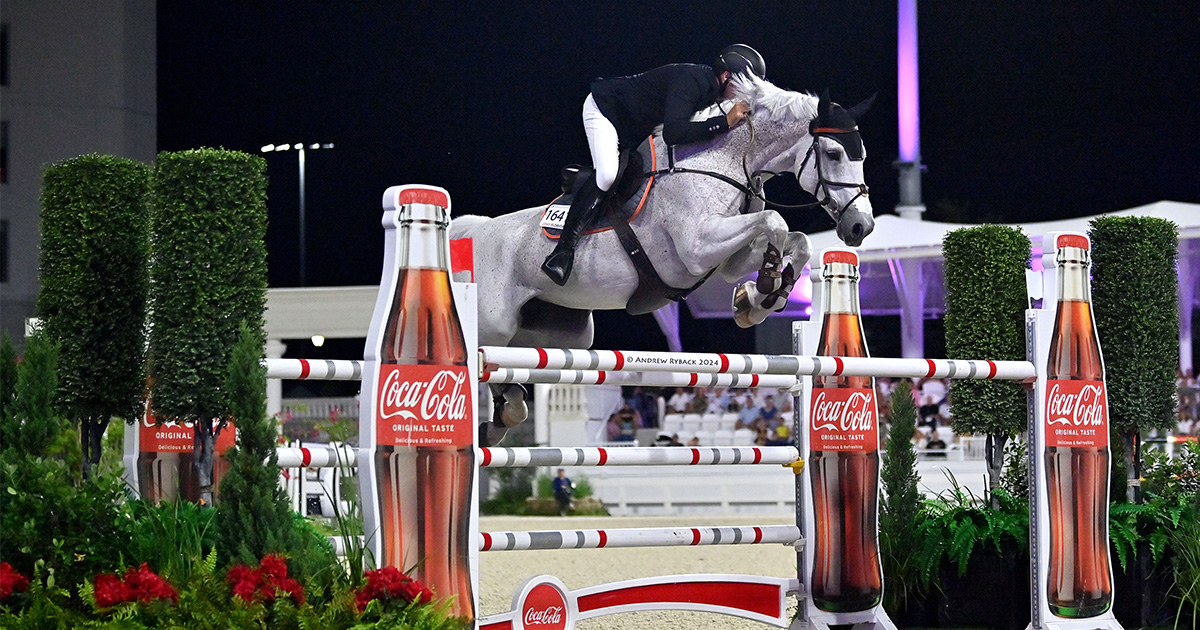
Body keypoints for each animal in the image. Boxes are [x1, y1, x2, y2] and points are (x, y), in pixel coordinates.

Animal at [451, 73, 873, 441]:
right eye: (834, 154)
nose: (861, 227)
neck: (721, 161)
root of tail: (473, 232)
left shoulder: (727, 259)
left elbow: (795, 240)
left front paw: (760, 297)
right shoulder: (699, 247)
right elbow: (776, 220)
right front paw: (765, 287)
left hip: (558, 333)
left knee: (511, 372)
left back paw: (504, 415)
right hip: (496, 324)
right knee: (485, 358)